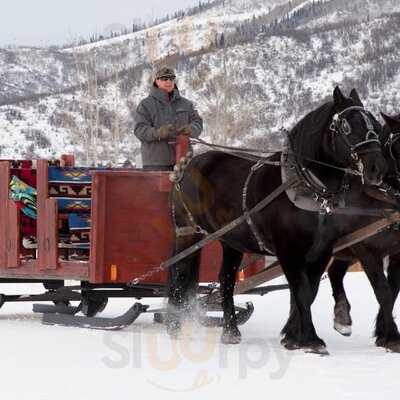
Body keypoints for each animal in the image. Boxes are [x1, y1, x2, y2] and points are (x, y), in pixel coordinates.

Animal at [167, 86, 386, 354]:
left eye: (373, 122)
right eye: (345, 126)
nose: (377, 168)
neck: (307, 187)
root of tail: (188, 164)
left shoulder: (321, 251)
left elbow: (310, 291)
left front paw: (293, 337)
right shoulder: (288, 250)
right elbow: (300, 290)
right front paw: (310, 339)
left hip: (231, 241)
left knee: (226, 280)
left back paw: (230, 331)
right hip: (188, 232)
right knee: (180, 273)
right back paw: (175, 325)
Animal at [326, 109, 400, 350]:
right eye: (397, 145)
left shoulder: (397, 253)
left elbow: (393, 291)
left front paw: (383, 333)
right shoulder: (365, 250)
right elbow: (383, 291)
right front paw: (391, 337)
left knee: (334, 273)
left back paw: (342, 318)